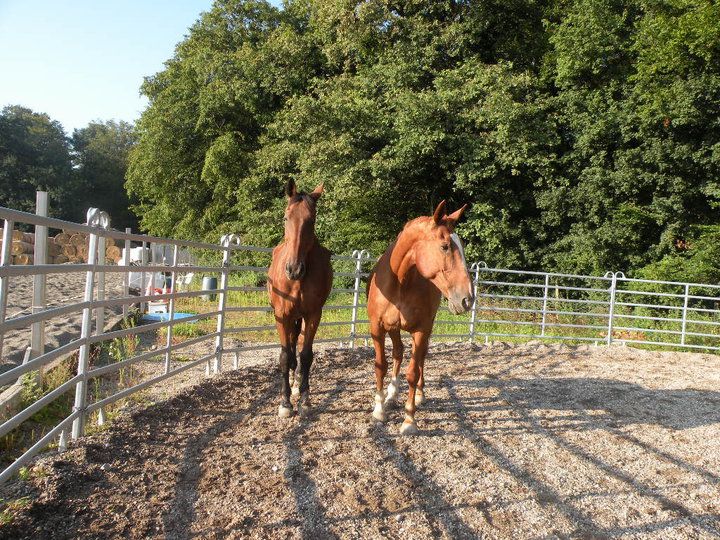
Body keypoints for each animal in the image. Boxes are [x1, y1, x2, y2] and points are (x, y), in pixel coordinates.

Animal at [267, 179, 333, 418]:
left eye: (311, 220)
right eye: (286, 218)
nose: (294, 269)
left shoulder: (313, 315)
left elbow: (306, 355)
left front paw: (304, 399)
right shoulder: (282, 315)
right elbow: (285, 356)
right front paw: (285, 403)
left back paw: (297, 384)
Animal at [366, 200, 474, 434]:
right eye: (445, 246)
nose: (467, 299)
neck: (400, 282)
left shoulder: (421, 330)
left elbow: (413, 373)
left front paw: (409, 419)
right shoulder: (377, 328)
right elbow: (381, 365)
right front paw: (379, 410)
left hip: (426, 328)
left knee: (421, 357)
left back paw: (419, 395)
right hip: (393, 328)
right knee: (398, 352)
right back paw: (391, 395)